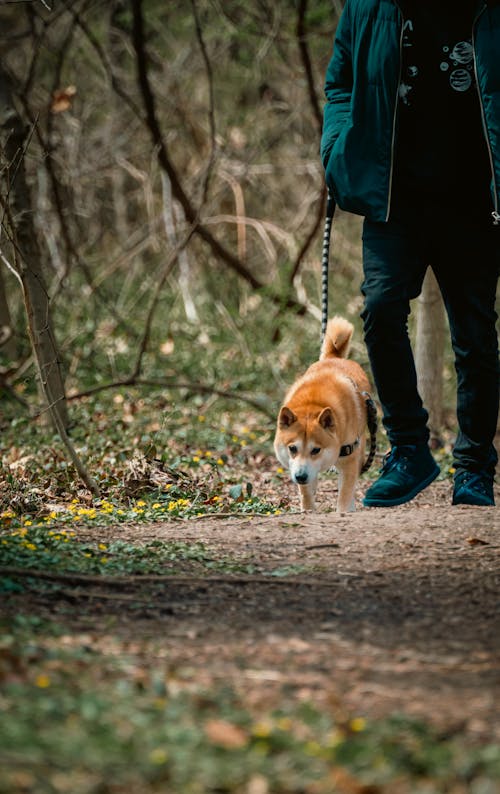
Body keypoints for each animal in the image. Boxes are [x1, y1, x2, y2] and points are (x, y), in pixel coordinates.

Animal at [274, 318, 376, 512]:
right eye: (292, 448)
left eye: (316, 450)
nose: (300, 476)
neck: (314, 403)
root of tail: (334, 358)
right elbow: (307, 494)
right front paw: (308, 510)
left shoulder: (350, 460)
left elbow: (345, 494)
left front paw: (343, 512)